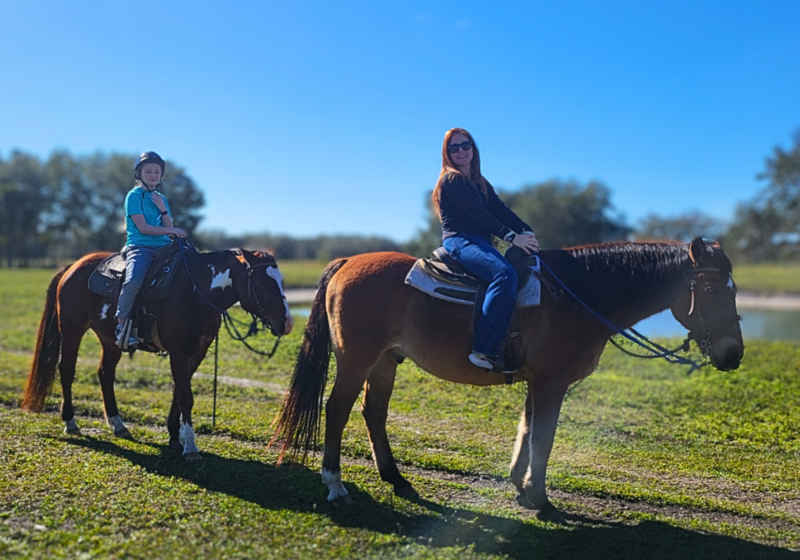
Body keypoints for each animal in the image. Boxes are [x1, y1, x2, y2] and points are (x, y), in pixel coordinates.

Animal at [21, 248, 290, 460]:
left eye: (280, 281)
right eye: (262, 282)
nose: (286, 323)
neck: (195, 292)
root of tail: (72, 267)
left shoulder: (196, 353)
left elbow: (178, 393)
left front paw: (175, 436)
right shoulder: (178, 353)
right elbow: (186, 397)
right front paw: (191, 447)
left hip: (110, 341)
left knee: (105, 374)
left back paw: (118, 424)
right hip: (72, 331)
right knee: (67, 371)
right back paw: (71, 422)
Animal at [276, 238, 744, 524]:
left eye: (734, 289)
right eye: (712, 290)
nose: (734, 353)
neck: (575, 297)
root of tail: (347, 262)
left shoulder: (539, 380)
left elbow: (527, 428)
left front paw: (520, 485)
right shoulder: (552, 381)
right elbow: (544, 437)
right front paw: (541, 499)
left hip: (384, 362)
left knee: (373, 412)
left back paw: (396, 478)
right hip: (356, 359)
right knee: (337, 409)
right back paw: (335, 484)